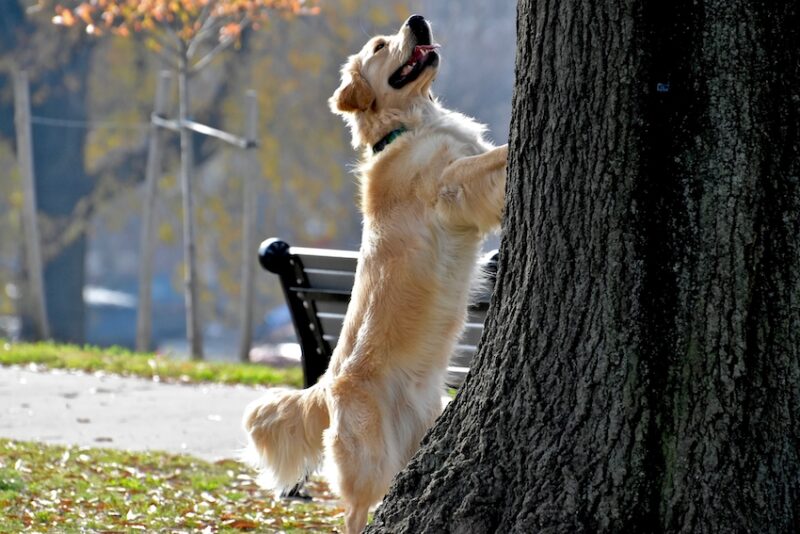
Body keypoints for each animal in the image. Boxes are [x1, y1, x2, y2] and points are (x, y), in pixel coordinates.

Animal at [242, 14, 506, 532]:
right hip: (367, 455)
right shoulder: (454, 185)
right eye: (381, 46)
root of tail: (325, 385)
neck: (407, 124)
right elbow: (491, 158)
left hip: (420, 431)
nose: (418, 19)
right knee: (355, 509)